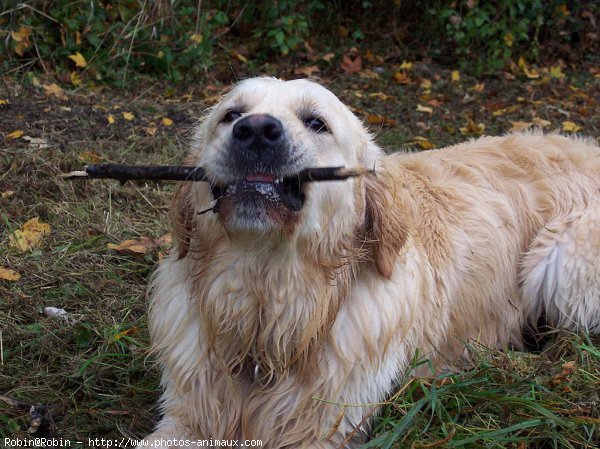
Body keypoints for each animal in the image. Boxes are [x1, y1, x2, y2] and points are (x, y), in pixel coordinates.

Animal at [143, 79, 600, 446]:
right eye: (231, 115)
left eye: (316, 122)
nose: (254, 130)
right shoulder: (186, 412)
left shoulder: (325, 426)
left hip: (555, 257)